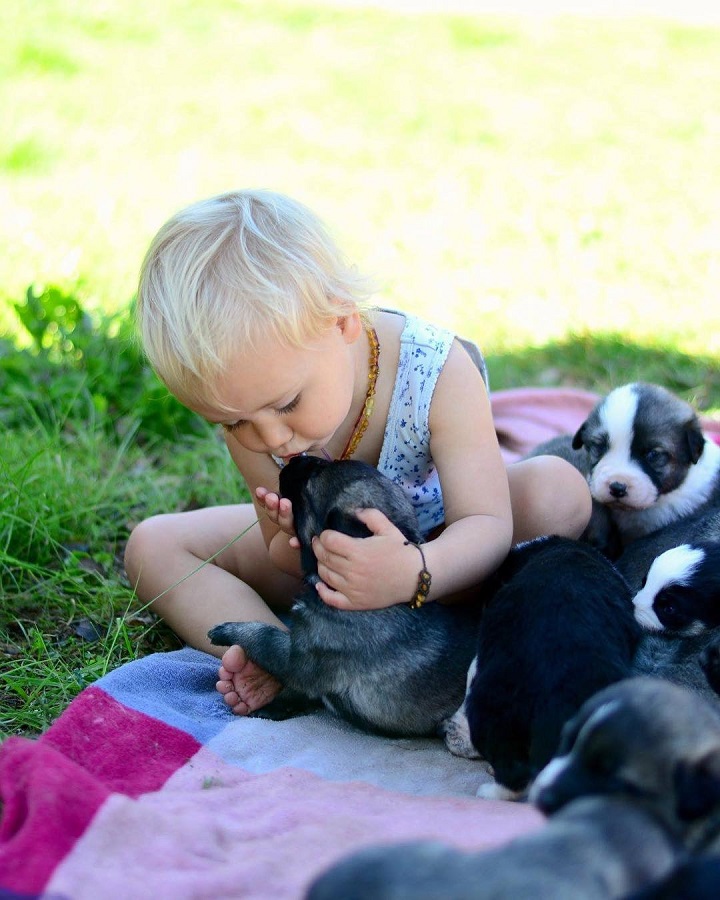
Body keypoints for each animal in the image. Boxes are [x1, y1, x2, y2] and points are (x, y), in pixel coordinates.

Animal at [207, 458, 484, 740]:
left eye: (312, 480)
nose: (295, 459)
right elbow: (295, 692)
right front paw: (274, 707)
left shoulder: (298, 655)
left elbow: (265, 636)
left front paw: (226, 630)